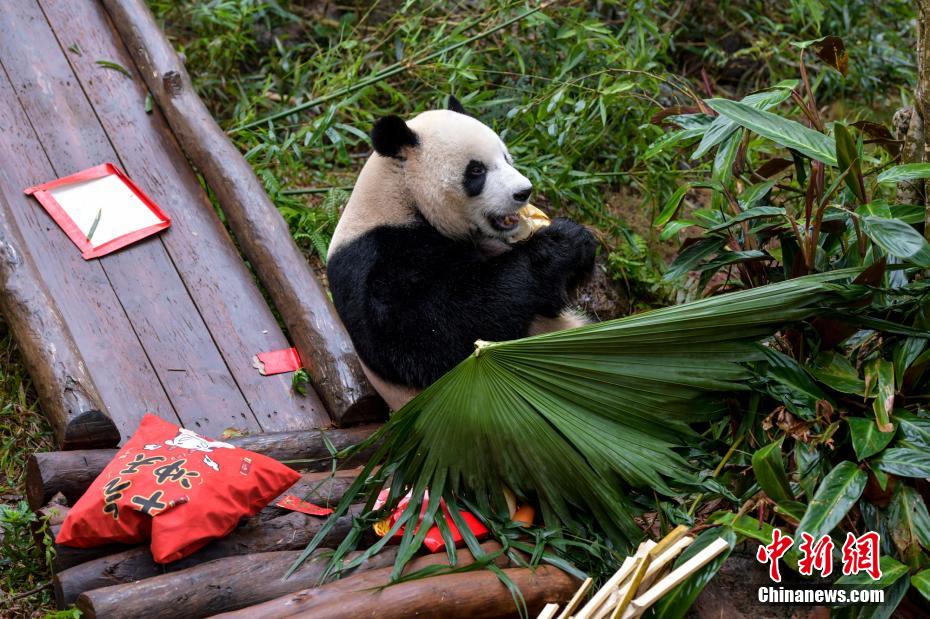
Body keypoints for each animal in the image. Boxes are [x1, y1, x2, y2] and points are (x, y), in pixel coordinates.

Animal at [326, 98, 596, 410]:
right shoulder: (379, 262)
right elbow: (441, 333)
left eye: (506, 158)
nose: (524, 192)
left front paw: (581, 242)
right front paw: (559, 242)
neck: (401, 197)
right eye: (476, 170)